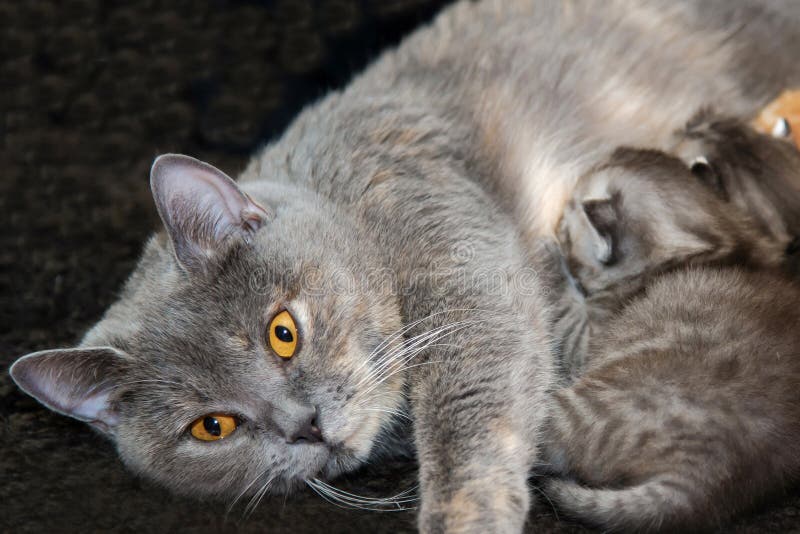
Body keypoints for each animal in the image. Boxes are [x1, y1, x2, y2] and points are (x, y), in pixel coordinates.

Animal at [9, 1, 800, 534]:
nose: (306, 426)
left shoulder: (467, 272)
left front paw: (466, 516)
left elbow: (473, 418)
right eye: (212, 428)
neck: (350, 200)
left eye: (282, 333)